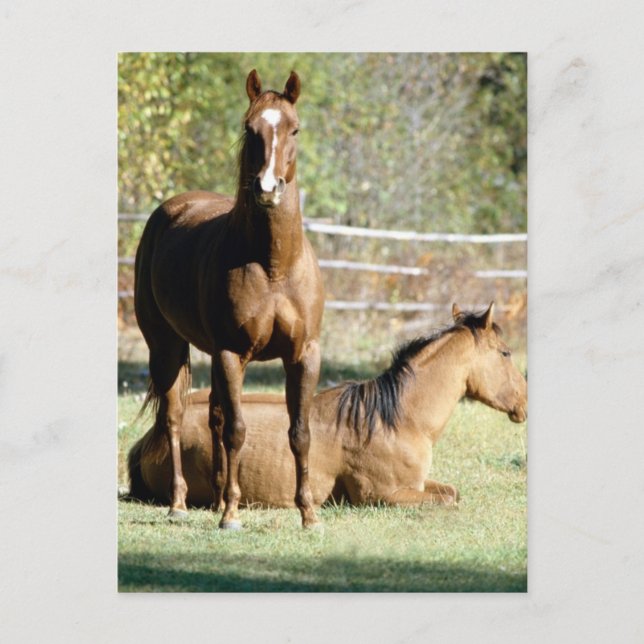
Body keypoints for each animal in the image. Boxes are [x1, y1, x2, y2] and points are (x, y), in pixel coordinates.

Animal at [127, 304, 527, 510]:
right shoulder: (383, 497)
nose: (524, 402)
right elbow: (447, 502)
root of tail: (151, 438)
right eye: (506, 353)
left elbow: (452, 493)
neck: (397, 420)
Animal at [134, 70, 325, 529]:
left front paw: (309, 514)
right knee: (175, 418)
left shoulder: (304, 355)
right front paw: (232, 515)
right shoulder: (232, 353)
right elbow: (239, 430)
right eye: (250, 128)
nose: (268, 188)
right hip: (167, 347)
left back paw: (218, 496)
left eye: (295, 129)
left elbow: (300, 432)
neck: (274, 266)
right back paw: (180, 503)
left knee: (214, 417)